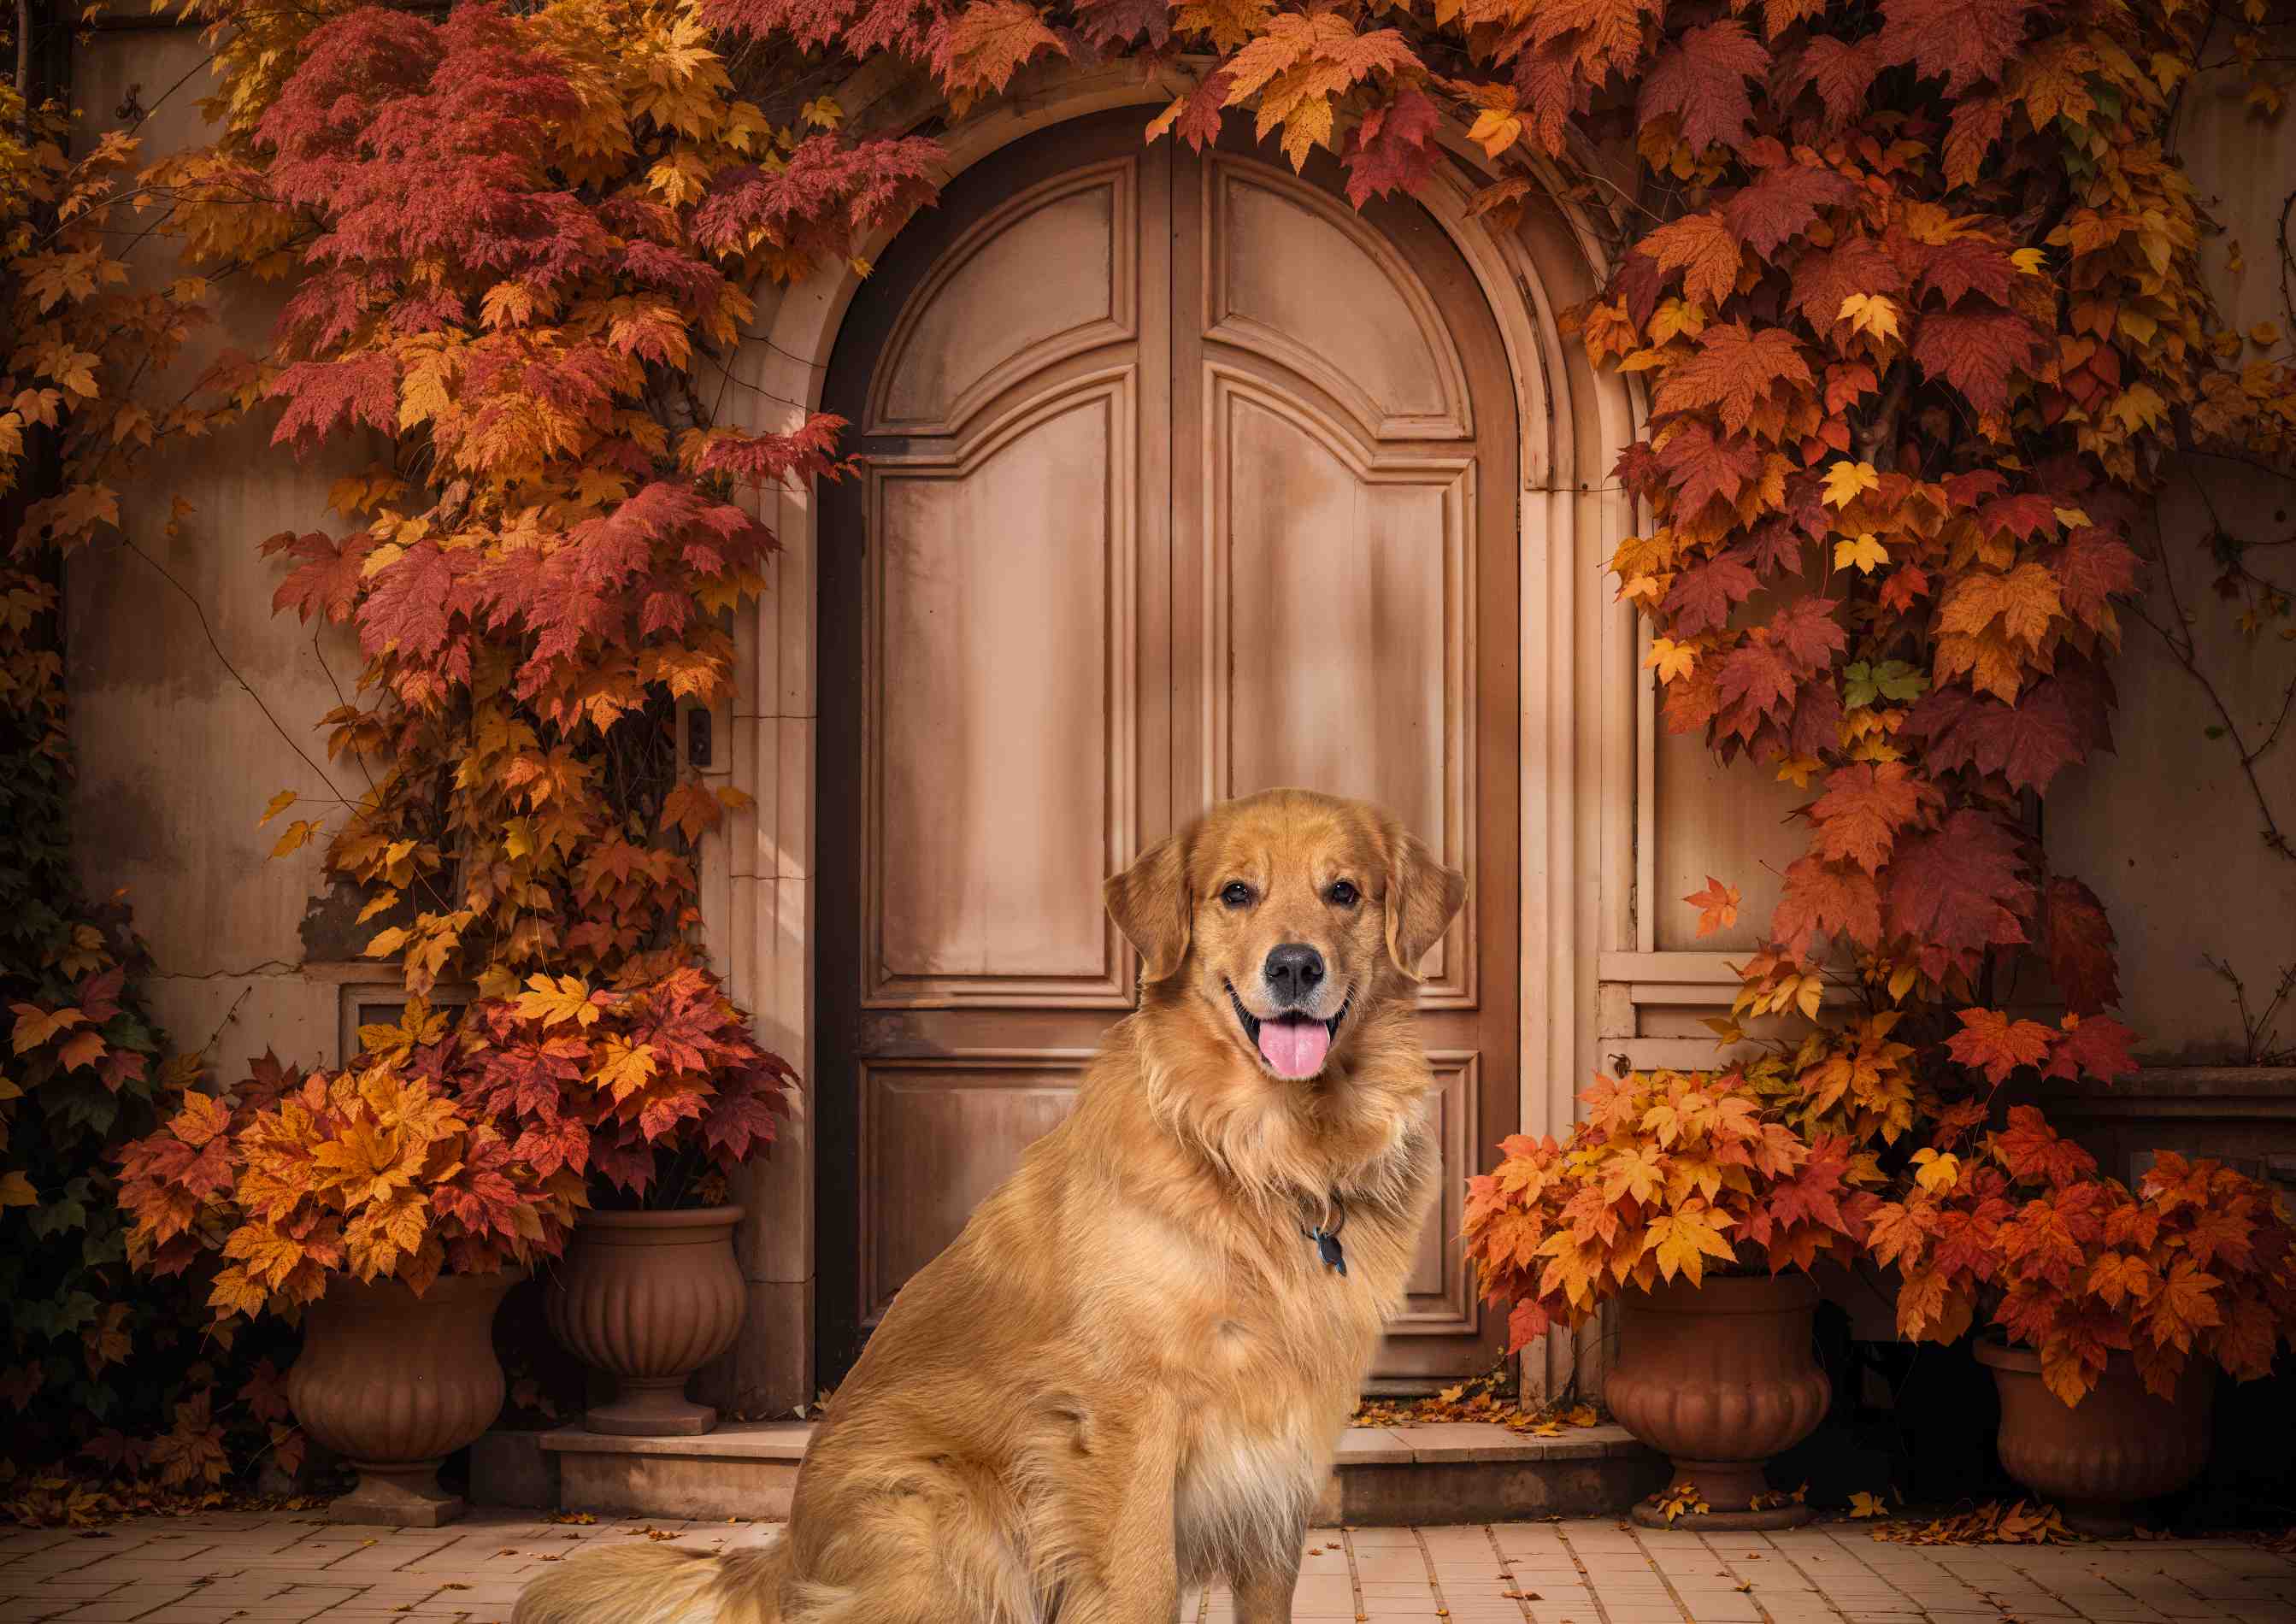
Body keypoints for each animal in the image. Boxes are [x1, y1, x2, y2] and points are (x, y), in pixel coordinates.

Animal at [514, 780, 1460, 1616]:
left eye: (1344, 892)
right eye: (1237, 893)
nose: (1295, 965)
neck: (1264, 1155)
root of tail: (783, 1558)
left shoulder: (1284, 1431)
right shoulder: (1131, 1412)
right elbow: (1142, 1586)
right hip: (956, 1522)